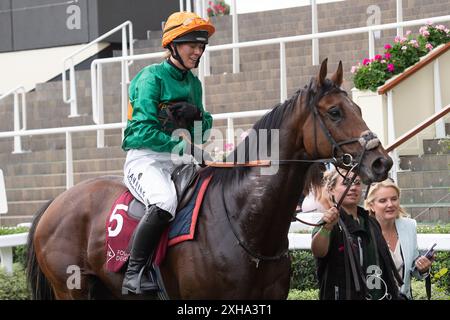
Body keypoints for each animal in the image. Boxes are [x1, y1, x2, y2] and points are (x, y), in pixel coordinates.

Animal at [25, 59, 390, 300]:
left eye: (358, 107)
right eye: (335, 112)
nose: (381, 161)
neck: (246, 223)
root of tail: (55, 203)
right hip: (71, 288)